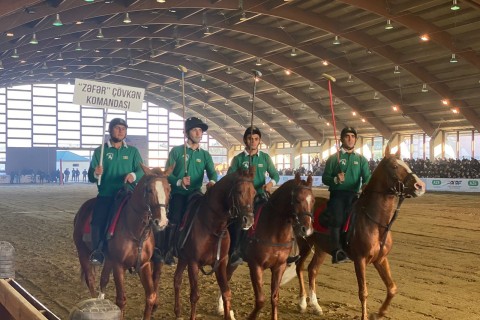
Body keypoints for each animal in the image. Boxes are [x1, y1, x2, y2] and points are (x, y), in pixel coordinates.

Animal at [72, 165, 172, 320]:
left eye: (169, 189)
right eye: (149, 190)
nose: (161, 222)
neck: (136, 231)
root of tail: (82, 210)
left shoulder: (144, 265)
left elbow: (150, 296)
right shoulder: (119, 266)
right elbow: (121, 300)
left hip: (108, 260)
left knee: (103, 280)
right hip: (83, 253)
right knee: (91, 280)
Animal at [172, 166, 256, 320]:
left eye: (254, 193)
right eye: (239, 191)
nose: (249, 220)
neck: (212, 227)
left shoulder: (220, 262)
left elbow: (226, 292)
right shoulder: (193, 263)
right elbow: (194, 296)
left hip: (182, 258)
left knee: (177, 279)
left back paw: (178, 312)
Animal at [219, 172, 316, 320]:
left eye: (313, 201)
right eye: (298, 200)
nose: (307, 230)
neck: (274, 231)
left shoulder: (279, 266)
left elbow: (274, 297)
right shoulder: (256, 266)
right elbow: (261, 300)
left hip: (233, 262)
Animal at [292, 146, 424, 318]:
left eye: (407, 164)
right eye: (395, 166)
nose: (420, 185)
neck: (376, 223)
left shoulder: (381, 259)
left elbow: (392, 288)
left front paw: (379, 313)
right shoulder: (360, 260)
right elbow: (363, 292)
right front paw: (366, 316)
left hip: (321, 249)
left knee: (312, 270)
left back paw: (315, 306)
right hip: (304, 244)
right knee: (299, 267)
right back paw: (302, 303)